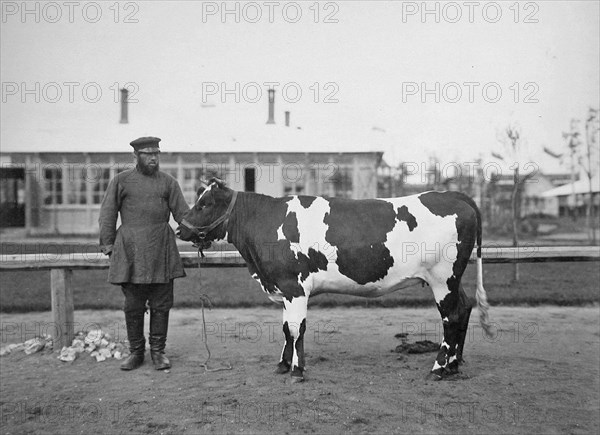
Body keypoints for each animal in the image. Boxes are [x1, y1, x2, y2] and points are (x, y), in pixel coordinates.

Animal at [178, 179, 492, 384]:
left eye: (205, 204)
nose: (181, 228)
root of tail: (453, 195)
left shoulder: (294, 287)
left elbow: (296, 329)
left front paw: (297, 370)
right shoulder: (284, 287)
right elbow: (285, 328)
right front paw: (282, 364)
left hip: (443, 278)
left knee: (451, 317)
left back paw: (438, 368)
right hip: (453, 279)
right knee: (464, 308)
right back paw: (454, 366)